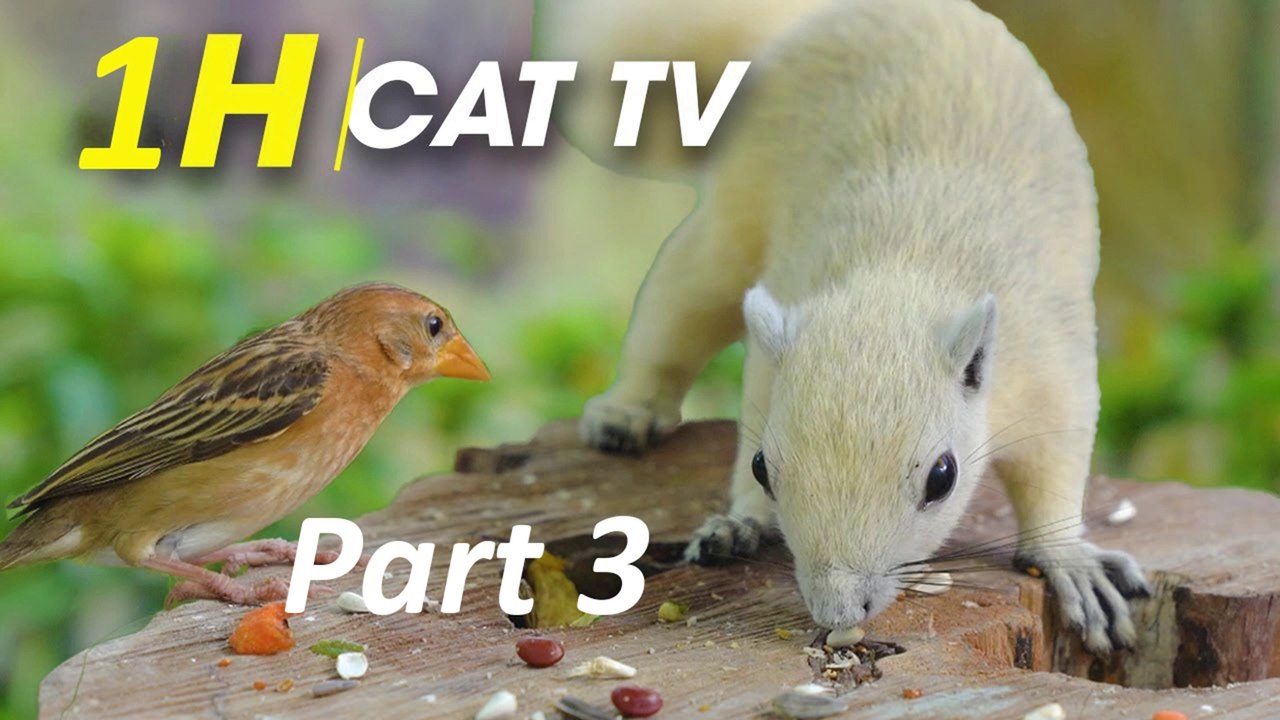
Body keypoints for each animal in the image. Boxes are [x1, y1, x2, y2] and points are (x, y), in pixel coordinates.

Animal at [578, 0, 1151, 654]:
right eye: (762, 467)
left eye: (943, 478)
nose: (838, 610)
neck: (898, 279)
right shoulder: (775, 348)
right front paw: (743, 519)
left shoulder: (1050, 368)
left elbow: (1055, 464)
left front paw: (1068, 560)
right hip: (730, 225)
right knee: (678, 308)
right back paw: (627, 414)